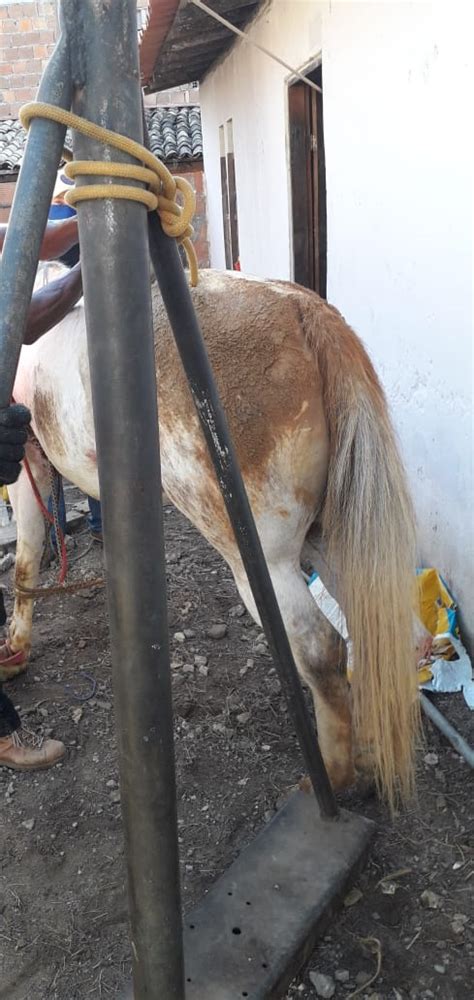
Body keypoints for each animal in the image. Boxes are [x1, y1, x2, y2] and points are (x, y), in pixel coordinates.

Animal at [2, 270, 418, 808]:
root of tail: (301, 309)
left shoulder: (26, 462)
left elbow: (27, 558)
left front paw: (15, 647)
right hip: (332, 540)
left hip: (262, 559)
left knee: (320, 647)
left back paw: (332, 775)